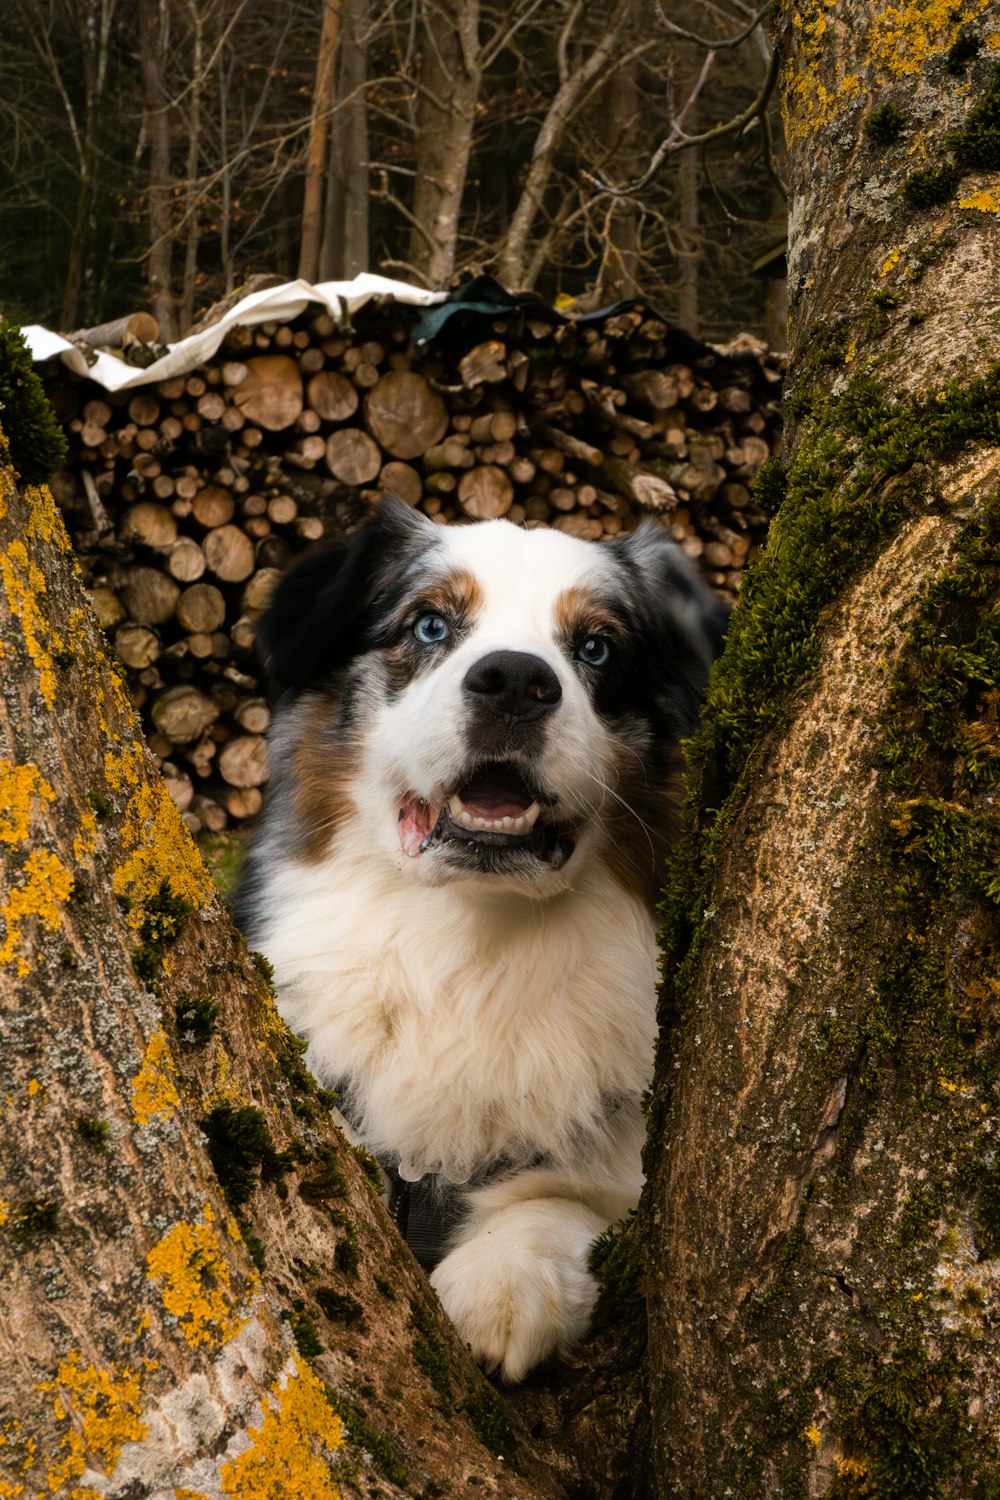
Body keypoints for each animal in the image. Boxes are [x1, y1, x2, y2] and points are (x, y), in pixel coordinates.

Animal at [242, 504, 728, 1380]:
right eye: (430, 624)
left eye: (597, 648)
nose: (512, 681)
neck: (468, 943)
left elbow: (568, 1201)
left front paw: (502, 1282)